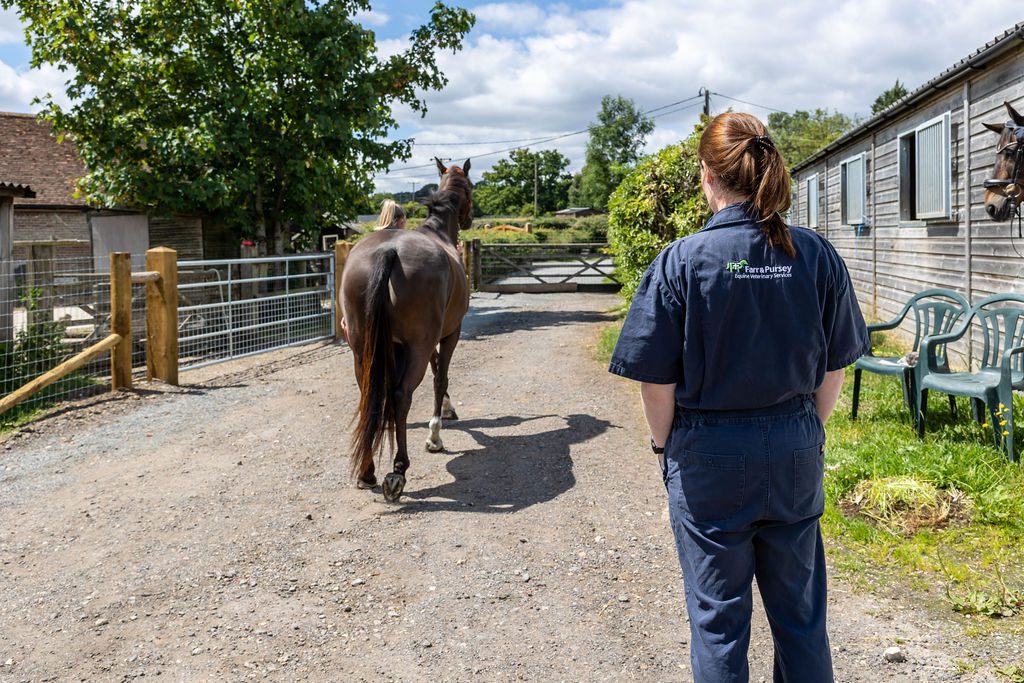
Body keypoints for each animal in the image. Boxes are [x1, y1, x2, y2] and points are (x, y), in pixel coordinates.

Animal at [340, 163, 473, 504]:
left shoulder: (397, 346)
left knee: (370, 395)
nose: (469, 219)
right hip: (418, 345)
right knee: (401, 395)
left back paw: (367, 471)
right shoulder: (449, 333)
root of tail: (389, 251)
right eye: (471, 188)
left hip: (363, 347)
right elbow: (441, 376)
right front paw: (435, 434)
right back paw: (397, 471)